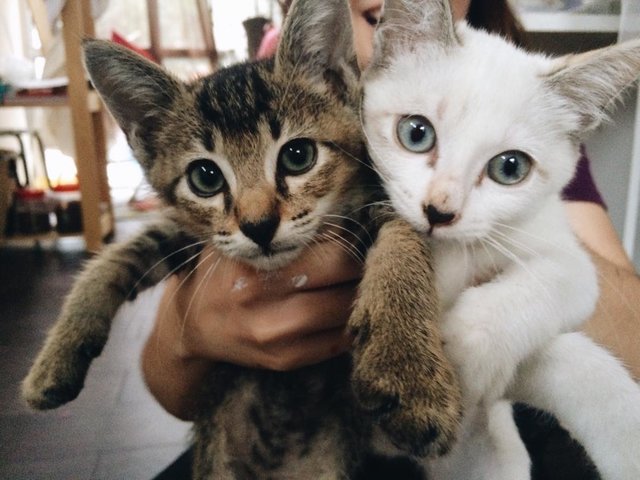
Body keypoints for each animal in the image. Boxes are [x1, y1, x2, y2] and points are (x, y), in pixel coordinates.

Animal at [21, 0, 460, 476]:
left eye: (298, 155)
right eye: (205, 177)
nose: (258, 225)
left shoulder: (376, 197)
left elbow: (402, 235)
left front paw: (408, 374)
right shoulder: (188, 236)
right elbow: (115, 257)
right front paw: (55, 358)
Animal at [362, 1, 640, 478]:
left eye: (510, 168)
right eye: (416, 133)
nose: (440, 211)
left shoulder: (560, 246)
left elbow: (562, 281)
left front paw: (465, 352)